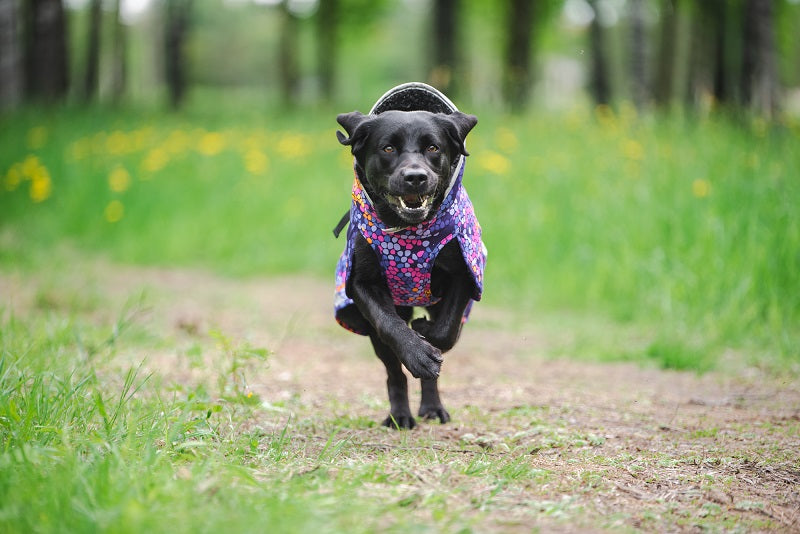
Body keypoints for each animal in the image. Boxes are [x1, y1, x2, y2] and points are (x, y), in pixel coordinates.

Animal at [334, 100, 484, 430]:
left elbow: (445, 332)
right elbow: (390, 325)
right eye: (388, 148)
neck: (409, 235)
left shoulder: (463, 274)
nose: (415, 176)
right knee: (394, 371)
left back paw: (433, 407)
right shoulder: (361, 282)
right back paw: (400, 414)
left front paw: (424, 333)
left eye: (433, 147)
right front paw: (418, 355)